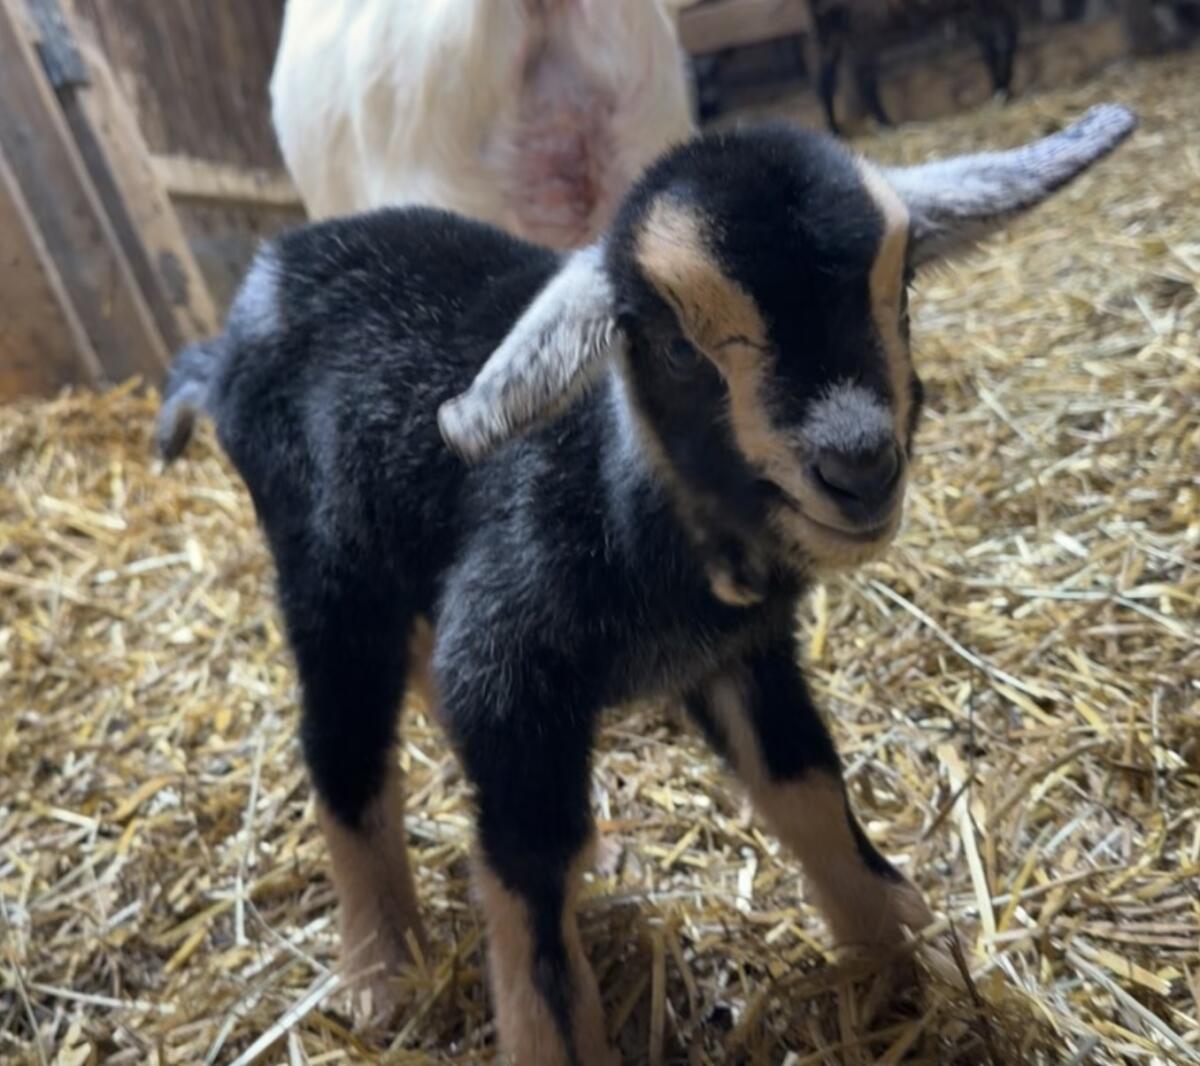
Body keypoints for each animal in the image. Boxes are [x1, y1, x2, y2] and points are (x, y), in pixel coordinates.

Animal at [157, 104, 1135, 1063]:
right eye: (672, 346)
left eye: (900, 292)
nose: (859, 468)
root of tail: (255, 292)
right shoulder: (508, 674)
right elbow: (529, 871)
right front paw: (550, 1039)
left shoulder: (743, 655)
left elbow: (808, 789)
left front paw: (907, 962)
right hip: (328, 568)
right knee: (344, 743)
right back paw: (383, 973)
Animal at [812, 0, 1023, 134]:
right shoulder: (981, 6)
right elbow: (997, 43)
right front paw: (1002, 90)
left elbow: (998, 43)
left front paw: (1004, 89)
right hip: (864, 27)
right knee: (863, 78)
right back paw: (885, 124)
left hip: (835, 30)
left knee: (826, 80)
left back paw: (835, 129)